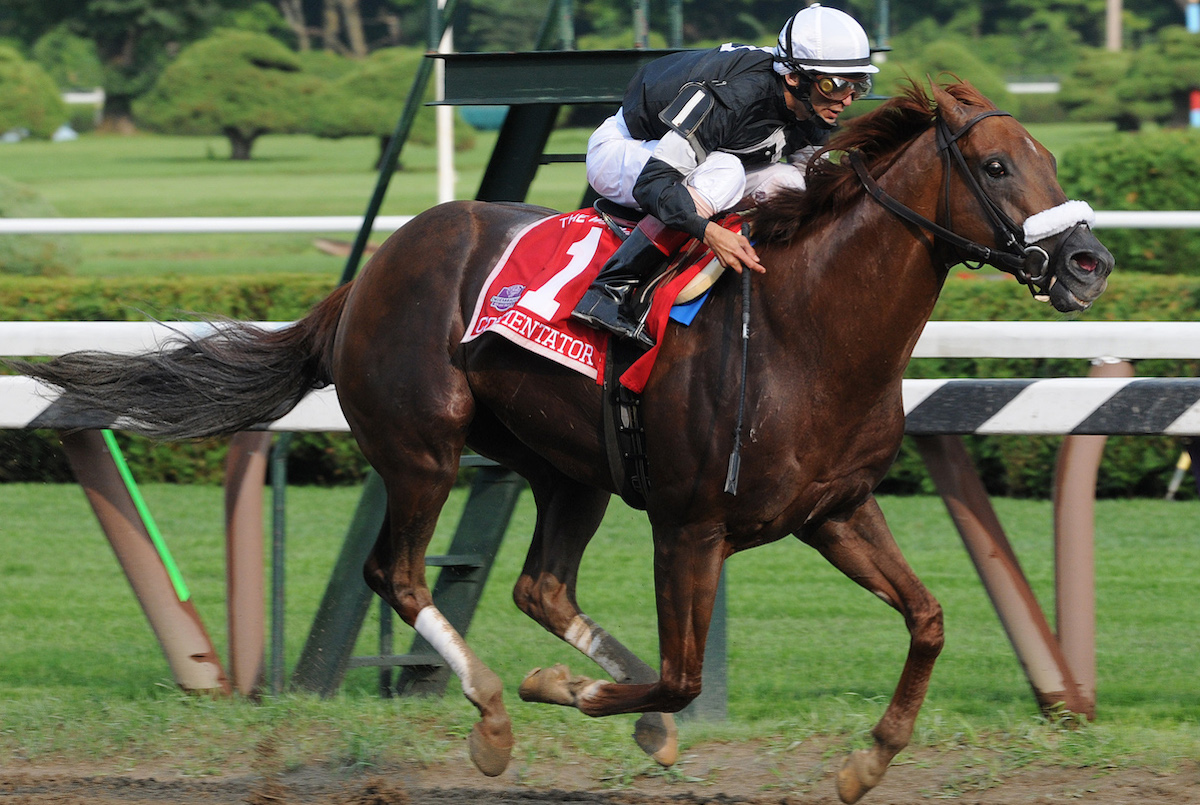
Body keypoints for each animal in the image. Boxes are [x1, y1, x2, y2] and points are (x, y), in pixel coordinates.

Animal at [14, 85, 1108, 801]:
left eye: (1055, 159)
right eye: (999, 165)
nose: (1090, 263)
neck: (806, 329)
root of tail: (367, 274)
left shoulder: (834, 509)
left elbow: (928, 618)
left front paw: (867, 757)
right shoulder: (689, 524)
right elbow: (683, 670)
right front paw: (577, 694)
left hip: (569, 471)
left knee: (540, 585)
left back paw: (599, 702)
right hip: (423, 451)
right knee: (397, 572)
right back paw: (500, 711)